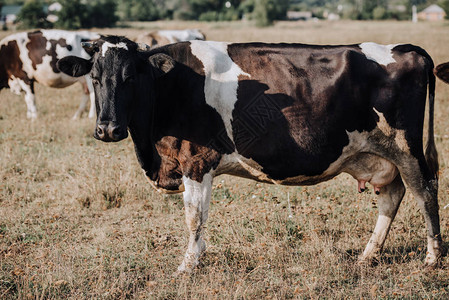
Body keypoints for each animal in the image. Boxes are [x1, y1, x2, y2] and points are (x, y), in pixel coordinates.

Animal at [57, 35, 442, 274]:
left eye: (131, 77)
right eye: (95, 77)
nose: (108, 129)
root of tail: (406, 48)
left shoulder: (196, 163)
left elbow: (194, 217)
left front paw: (188, 265)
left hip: (406, 148)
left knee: (425, 192)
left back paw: (433, 257)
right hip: (379, 155)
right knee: (392, 196)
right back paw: (367, 255)